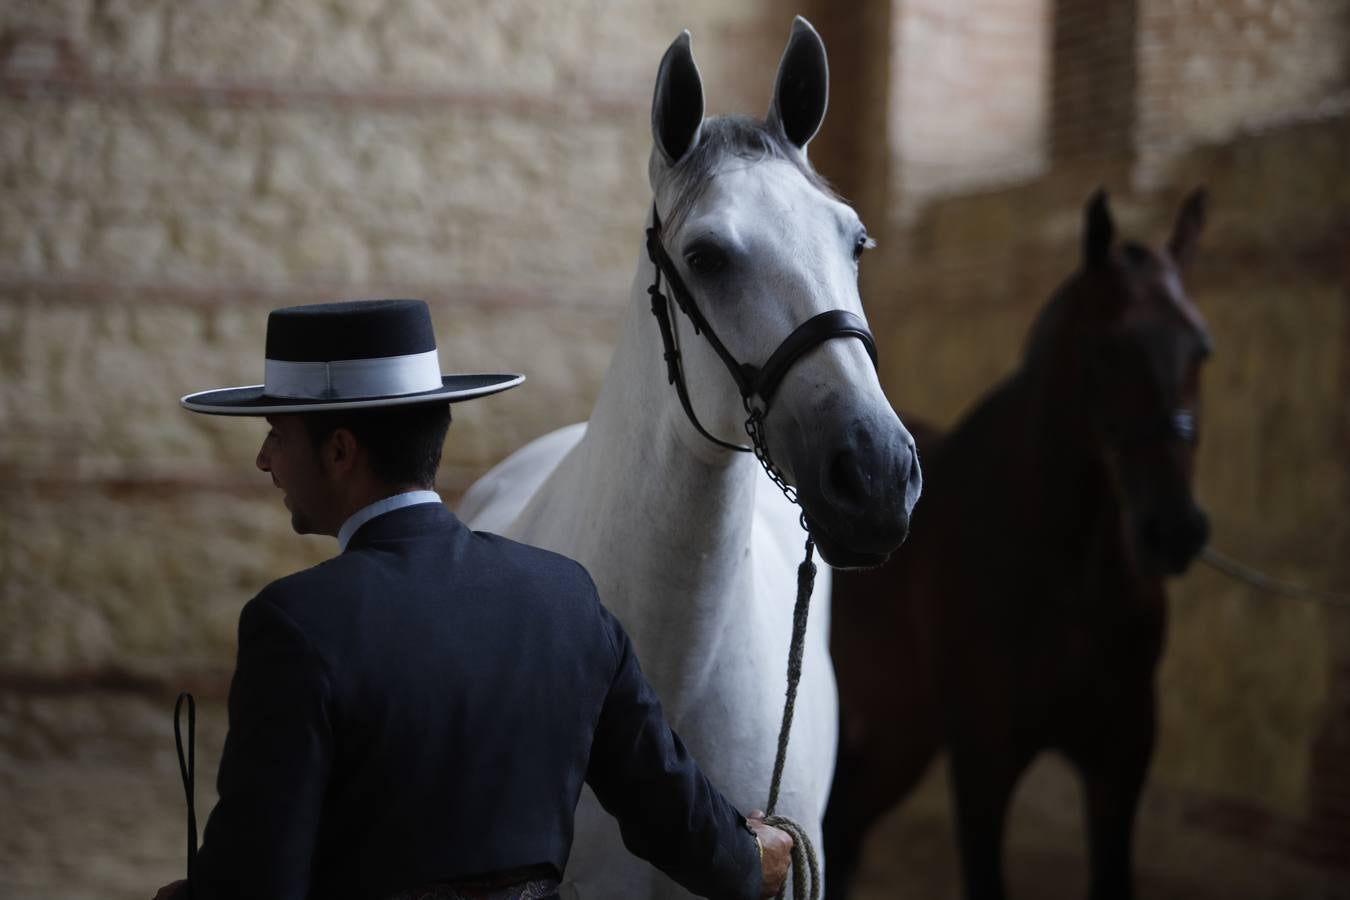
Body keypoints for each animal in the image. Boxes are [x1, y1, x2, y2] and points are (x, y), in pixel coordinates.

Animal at [820, 190, 1215, 900]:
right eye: (1106, 349)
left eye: (1201, 350)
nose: (1174, 530)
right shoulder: (984, 757)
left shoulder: (1121, 758)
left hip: (902, 732)